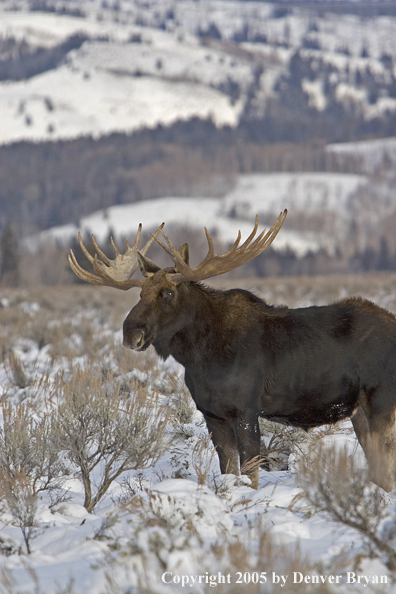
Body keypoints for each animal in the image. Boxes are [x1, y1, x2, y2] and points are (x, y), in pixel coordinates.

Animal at [69, 212, 396, 490]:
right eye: (140, 293)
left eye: (168, 292)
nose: (130, 332)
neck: (199, 356)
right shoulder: (212, 413)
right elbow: (228, 469)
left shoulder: (246, 409)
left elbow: (250, 473)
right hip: (358, 411)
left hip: (381, 402)